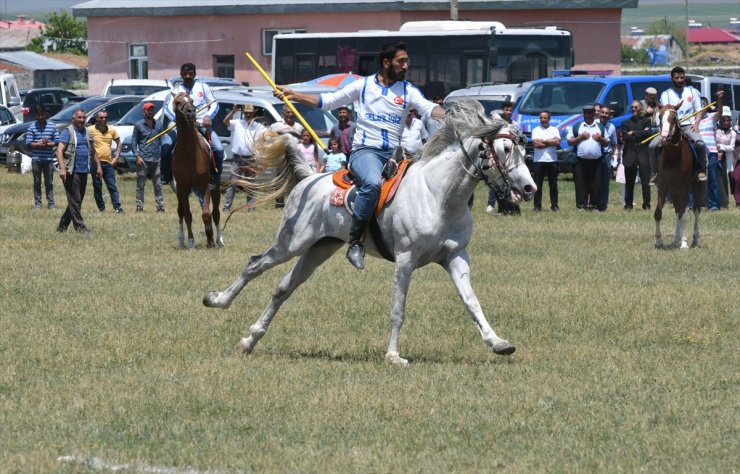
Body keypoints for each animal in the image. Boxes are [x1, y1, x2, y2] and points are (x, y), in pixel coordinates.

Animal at [171, 92, 223, 248]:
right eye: (177, 102)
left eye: (192, 101)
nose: (191, 112)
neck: (190, 154)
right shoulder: (182, 188)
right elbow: (187, 215)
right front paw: (190, 242)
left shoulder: (204, 185)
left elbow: (206, 214)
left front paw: (210, 240)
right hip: (181, 192)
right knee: (180, 212)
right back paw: (181, 241)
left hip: (216, 188)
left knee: (216, 213)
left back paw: (219, 240)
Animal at [204, 98, 536, 364]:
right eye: (506, 148)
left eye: (524, 151)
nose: (529, 188)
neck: (439, 196)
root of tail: (310, 178)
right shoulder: (405, 260)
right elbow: (398, 309)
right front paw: (393, 355)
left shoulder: (455, 256)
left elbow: (471, 301)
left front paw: (498, 342)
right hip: (291, 242)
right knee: (255, 265)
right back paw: (217, 300)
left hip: (319, 248)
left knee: (283, 288)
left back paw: (249, 340)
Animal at [656, 103, 704, 248]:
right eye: (659, 117)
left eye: (674, 118)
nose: (664, 138)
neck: (673, 156)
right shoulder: (664, 185)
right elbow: (658, 213)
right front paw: (658, 240)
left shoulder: (683, 187)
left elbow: (684, 215)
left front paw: (684, 243)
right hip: (674, 189)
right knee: (678, 210)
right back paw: (675, 239)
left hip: (695, 186)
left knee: (695, 211)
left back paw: (694, 239)